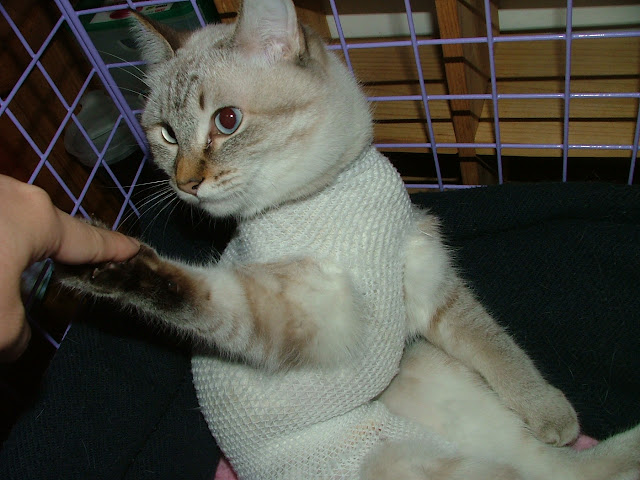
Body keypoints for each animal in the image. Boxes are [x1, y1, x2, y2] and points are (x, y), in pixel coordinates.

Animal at [58, 0, 640, 478]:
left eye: (227, 121)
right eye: (166, 134)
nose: (184, 183)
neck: (330, 193)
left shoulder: (425, 281)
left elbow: (498, 347)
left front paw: (549, 410)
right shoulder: (296, 311)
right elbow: (194, 292)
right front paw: (102, 264)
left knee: (568, 466)